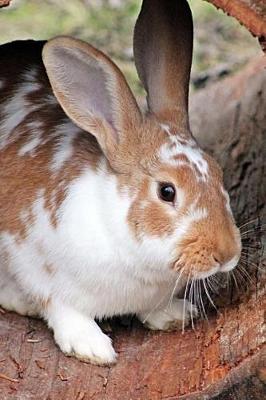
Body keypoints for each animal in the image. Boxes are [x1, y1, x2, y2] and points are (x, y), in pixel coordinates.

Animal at [0, 0, 241, 364]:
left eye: (218, 173)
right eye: (166, 191)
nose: (227, 254)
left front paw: (174, 315)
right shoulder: (34, 265)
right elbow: (60, 307)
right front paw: (92, 348)